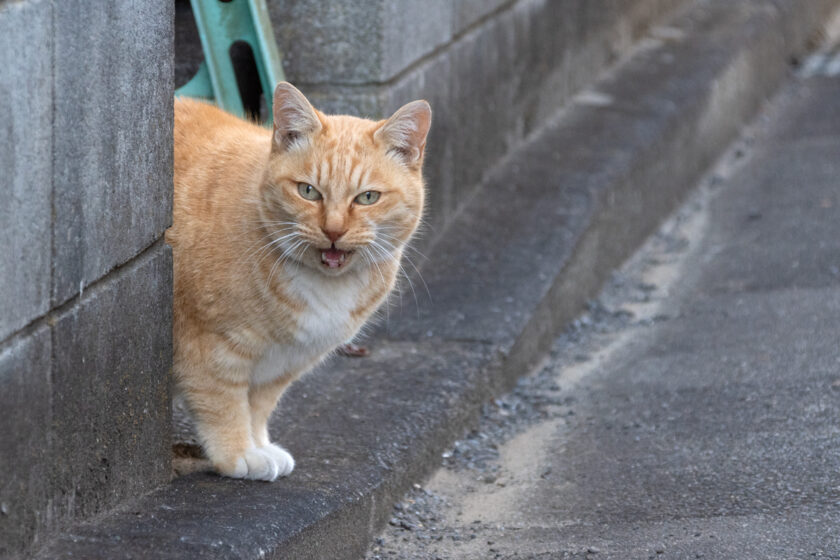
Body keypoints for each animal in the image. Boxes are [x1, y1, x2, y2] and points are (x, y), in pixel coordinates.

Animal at [169, 81, 434, 480]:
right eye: (308, 191)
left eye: (367, 197)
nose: (334, 230)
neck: (326, 286)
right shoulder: (210, 348)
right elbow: (223, 402)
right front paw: (237, 454)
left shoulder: (282, 364)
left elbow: (258, 406)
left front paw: (259, 445)